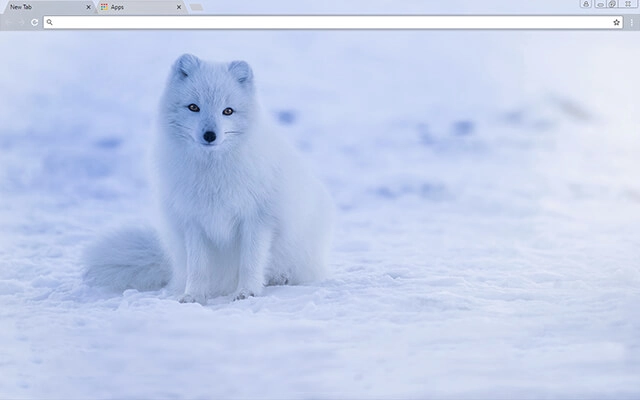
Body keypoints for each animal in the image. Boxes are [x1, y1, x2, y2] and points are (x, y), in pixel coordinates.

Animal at [83, 54, 334, 304]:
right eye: (194, 107)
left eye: (228, 111)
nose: (210, 135)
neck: (212, 173)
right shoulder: (193, 221)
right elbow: (198, 267)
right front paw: (193, 296)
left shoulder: (257, 219)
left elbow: (250, 262)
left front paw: (247, 292)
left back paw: (280, 278)